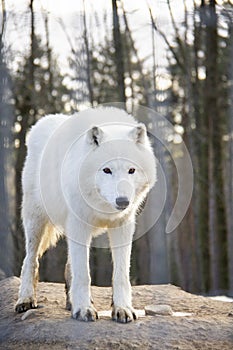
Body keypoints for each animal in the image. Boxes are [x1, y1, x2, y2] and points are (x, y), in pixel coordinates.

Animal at [15, 106, 157, 322]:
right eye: (106, 170)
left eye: (131, 170)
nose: (123, 201)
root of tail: (42, 123)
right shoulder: (78, 224)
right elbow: (84, 274)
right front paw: (83, 309)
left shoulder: (123, 226)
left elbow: (121, 275)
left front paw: (122, 308)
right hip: (35, 220)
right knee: (30, 260)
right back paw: (25, 300)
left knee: (68, 266)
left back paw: (70, 302)